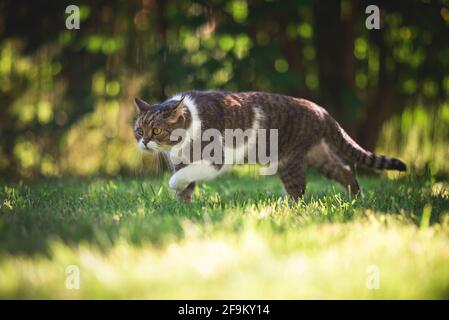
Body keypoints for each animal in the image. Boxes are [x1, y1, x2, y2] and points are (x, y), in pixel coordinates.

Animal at [133, 90, 406, 202]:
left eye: (156, 131)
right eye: (139, 130)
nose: (144, 141)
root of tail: (322, 110)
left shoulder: (214, 160)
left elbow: (183, 176)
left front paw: (174, 186)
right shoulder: (181, 161)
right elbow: (186, 185)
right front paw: (183, 206)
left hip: (288, 159)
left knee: (298, 189)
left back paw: (287, 209)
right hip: (316, 153)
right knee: (345, 170)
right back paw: (356, 198)